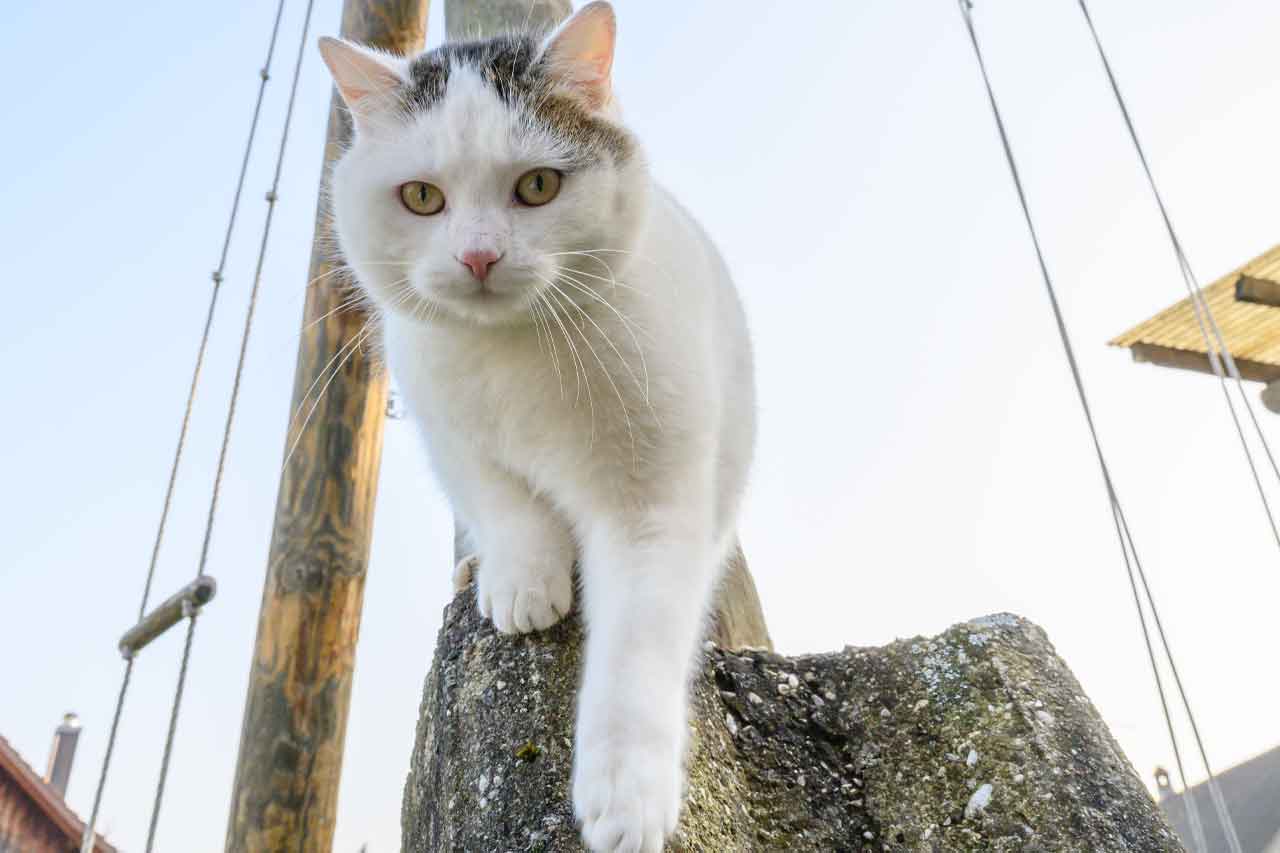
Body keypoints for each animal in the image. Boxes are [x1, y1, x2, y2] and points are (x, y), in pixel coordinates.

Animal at [320, 3, 752, 845]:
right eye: (421, 197)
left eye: (539, 185)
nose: (479, 256)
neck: (516, 348)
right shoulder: (444, 424)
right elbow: (502, 500)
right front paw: (523, 581)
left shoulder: (654, 504)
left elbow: (636, 647)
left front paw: (626, 798)